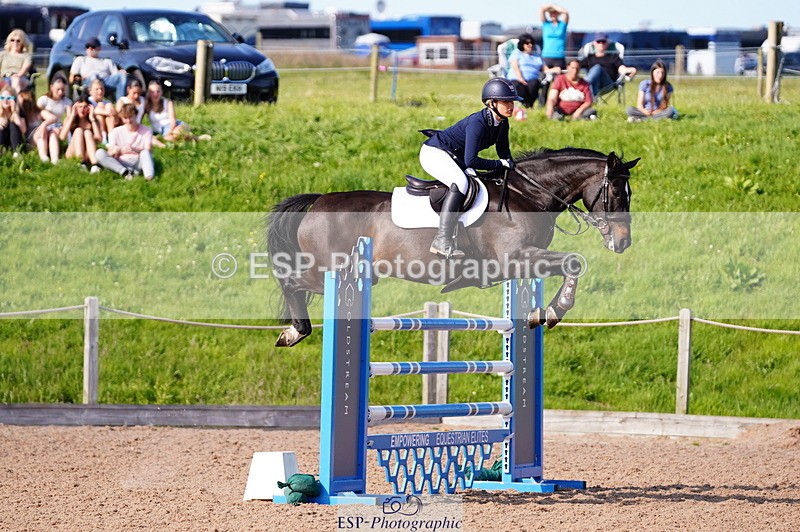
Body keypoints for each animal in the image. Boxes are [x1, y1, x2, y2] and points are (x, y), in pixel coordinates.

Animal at [267, 147, 640, 347]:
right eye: (617, 193)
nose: (623, 242)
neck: (527, 194)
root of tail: (317, 202)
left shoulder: (524, 260)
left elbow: (569, 264)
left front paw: (541, 312)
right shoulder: (515, 258)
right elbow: (574, 261)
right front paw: (553, 311)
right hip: (328, 271)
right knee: (291, 281)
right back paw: (294, 332)